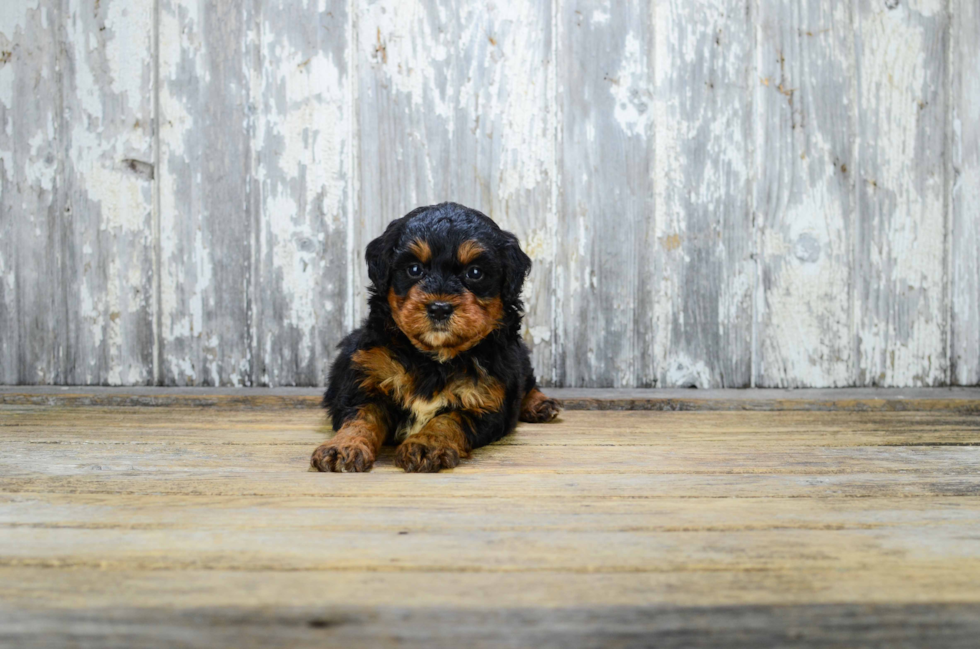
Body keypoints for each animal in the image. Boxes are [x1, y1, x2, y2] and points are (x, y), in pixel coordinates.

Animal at [310, 200, 564, 474]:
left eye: (475, 273)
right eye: (414, 269)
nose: (439, 308)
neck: (434, 358)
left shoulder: (488, 400)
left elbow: (449, 418)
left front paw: (426, 444)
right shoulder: (367, 381)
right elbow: (361, 417)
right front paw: (344, 447)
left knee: (527, 380)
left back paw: (540, 404)